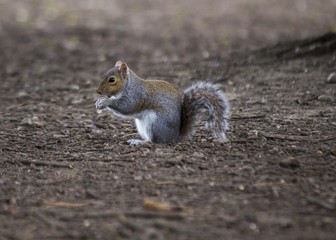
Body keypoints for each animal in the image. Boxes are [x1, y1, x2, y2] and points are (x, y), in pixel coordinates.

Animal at [96, 61, 230, 145]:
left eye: (112, 80)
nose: (98, 92)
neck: (128, 85)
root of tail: (175, 137)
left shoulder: (136, 95)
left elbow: (127, 106)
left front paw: (105, 101)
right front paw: (99, 101)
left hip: (155, 123)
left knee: (155, 141)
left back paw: (139, 142)